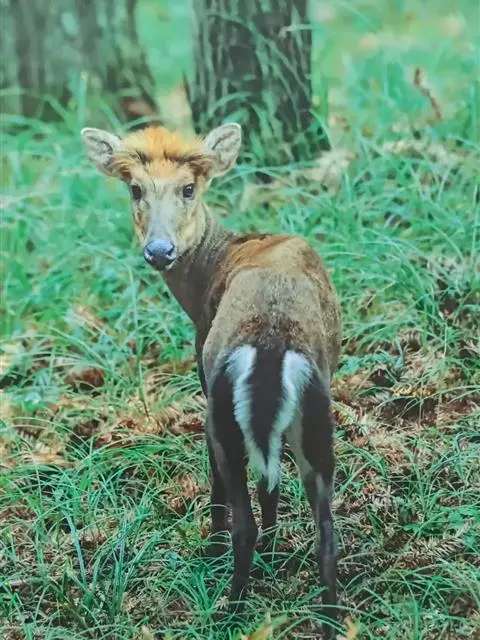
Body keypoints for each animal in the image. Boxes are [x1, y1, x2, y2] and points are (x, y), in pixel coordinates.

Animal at [81, 122, 342, 638]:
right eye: (135, 189)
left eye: (188, 188)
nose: (159, 251)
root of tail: (272, 339)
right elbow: (270, 482)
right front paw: (276, 552)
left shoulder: (203, 381)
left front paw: (213, 548)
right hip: (316, 411)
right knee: (325, 529)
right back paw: (329, 619)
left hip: (222, 408)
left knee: (243, 518)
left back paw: (231, 609)